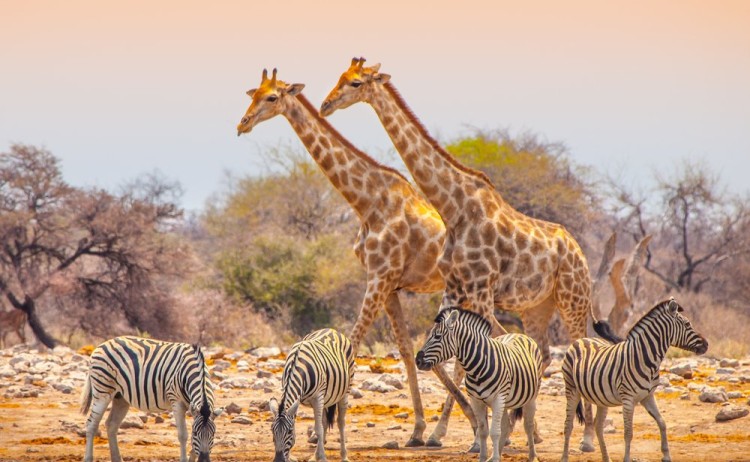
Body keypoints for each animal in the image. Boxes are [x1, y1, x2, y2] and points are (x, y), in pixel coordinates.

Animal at [80, 336, 222, 462]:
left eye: (213, 434)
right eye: (195, 433)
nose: (204, 460)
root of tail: (103, 344)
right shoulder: (177, 402)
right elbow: (182, 435)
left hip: (120, 397)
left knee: (111, 424)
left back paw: (117, 459)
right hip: (102, 391)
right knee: (91, 424)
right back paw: (88, 458)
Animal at [236, 68, 478, 446]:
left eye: (272, 97)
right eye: (254, 94)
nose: (242, 123)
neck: (368, 201)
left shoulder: (378, 278)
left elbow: (352, 343)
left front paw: (318, 428)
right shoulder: (390, 286)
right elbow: (404, 351)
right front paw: (416, 429)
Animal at [269, 328, 355, 462]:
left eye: (290, 431)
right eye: (272, 430)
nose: (278, 460)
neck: (298, 366)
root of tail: (331, 329)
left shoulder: (317, 397)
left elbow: (318, 429)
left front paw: (323, 458)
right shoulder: (297, 398)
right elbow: (318, 426)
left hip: (345, 391)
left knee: (340, 422)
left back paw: (344, 456)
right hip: (326, 398)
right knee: (324, 422)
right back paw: (315, 456)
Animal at [415, 307, 543, 462]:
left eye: (438, 337)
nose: (417, 361)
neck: (477, 368)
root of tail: (518, 334)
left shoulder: (498, 398)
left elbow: (494, 432)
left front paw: (495, 458)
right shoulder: (476, 400)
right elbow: (483, 431)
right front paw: (484, 457)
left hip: (530, 397)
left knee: (528, 425)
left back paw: (532, 456)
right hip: (506, 401)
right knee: (506, 426)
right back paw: (496, 455)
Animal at [561, 297, 709, 462]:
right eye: (688, 324)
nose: (706, 344)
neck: (646, 359)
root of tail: (582, 339)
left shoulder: (648, 396)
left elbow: (662, 422)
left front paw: (666, 455)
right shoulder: (628, 398)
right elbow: (628, 433)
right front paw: (627, 458)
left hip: (601, 398)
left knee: (598, 426)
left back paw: (606, 458)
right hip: (571, 390)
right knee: (568, 426)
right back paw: (564, 457)